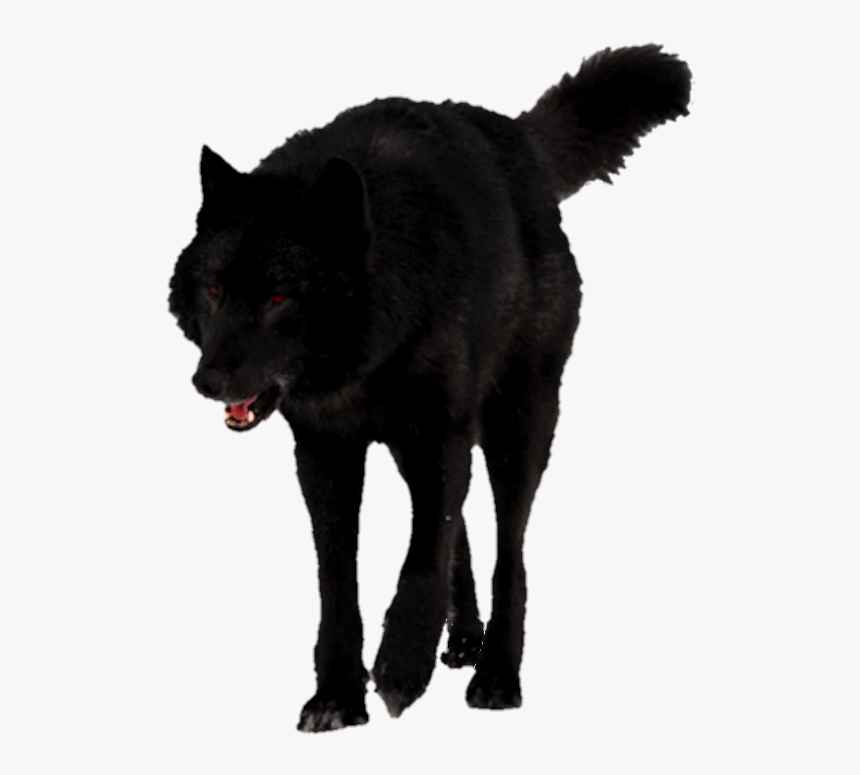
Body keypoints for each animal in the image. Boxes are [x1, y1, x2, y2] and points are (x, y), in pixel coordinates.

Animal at [169, 44, 691, 732]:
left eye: (279, 297)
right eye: (214, 289)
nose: (208, 381)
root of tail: (521, 139)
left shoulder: (439, 434)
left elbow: (423, 557)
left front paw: (398, 672)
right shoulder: (326, 450)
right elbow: (339, 579)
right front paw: (338, 695)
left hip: (517, 424)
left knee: (507, 552)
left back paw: (495, 672)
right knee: (463, 531)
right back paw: (464, 637)